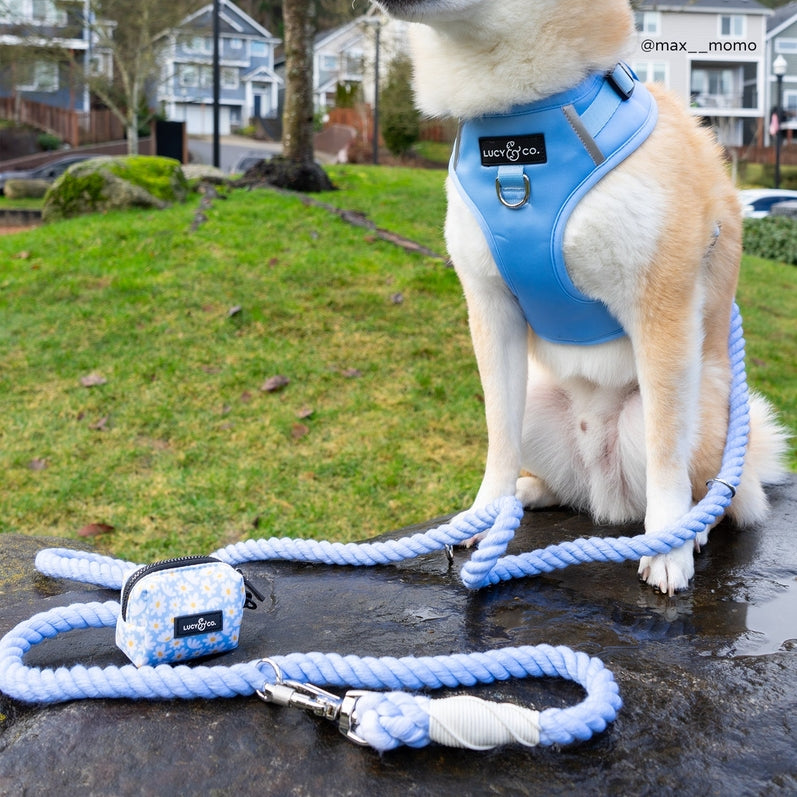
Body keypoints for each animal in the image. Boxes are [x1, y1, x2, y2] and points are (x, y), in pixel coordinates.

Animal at [376, 0, 788, 592]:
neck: (522, 128)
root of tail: (607, 492)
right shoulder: (489, 305)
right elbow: (497, 440)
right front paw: (485, 513)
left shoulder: (661, 306)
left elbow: (667, 455)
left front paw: (671, 546)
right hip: (538, 397)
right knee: (558, 478)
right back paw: (530, 493)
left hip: (698, 418)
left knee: (722, 493)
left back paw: (693, 525)